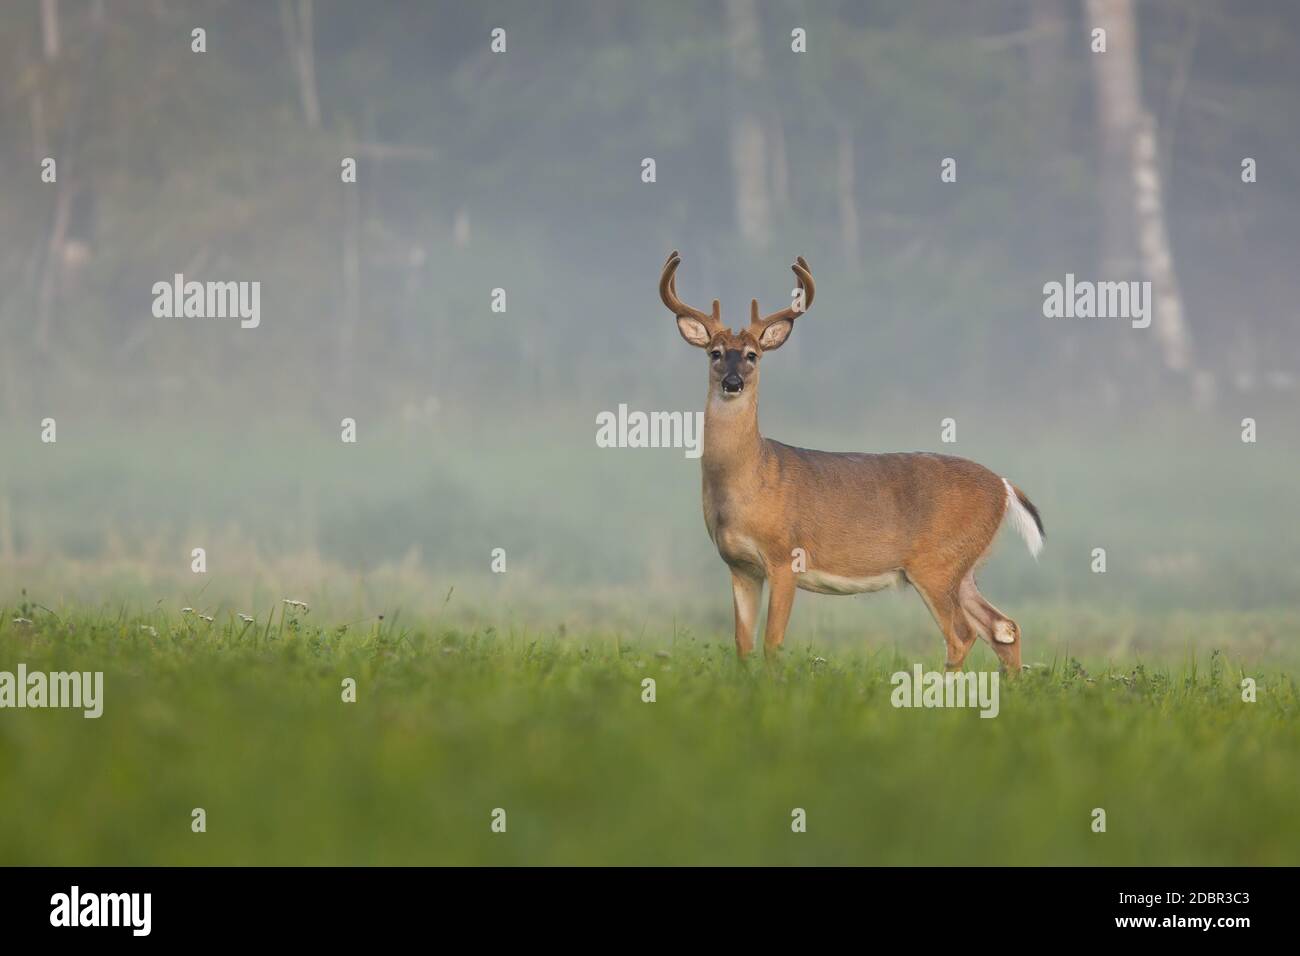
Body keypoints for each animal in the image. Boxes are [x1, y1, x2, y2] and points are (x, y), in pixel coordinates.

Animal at [658, 250, 1044, 673]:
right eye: (714, 353)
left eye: (751, 356)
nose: (732, 383)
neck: (751, 479)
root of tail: (1005, 487)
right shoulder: (740, 566)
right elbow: (743, 644)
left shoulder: (785, 557)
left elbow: (772, 643)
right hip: (965, 568)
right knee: (1004, 627)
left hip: (938, 562)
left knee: (963, 634)